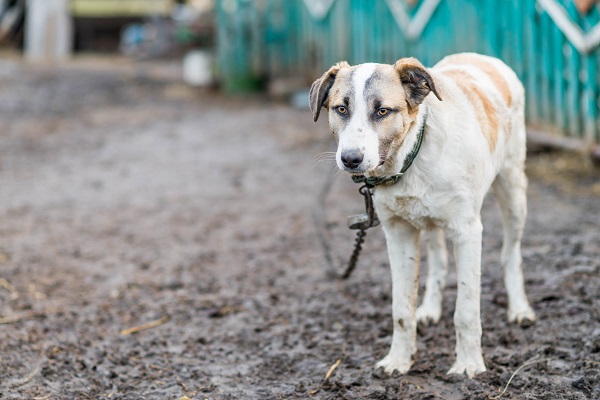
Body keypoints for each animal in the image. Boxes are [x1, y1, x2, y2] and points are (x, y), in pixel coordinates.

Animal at [310, 53, 536, 378]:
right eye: (341, 108)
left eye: (382, 111)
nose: (350, 159)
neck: (410, 160)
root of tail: (480, 56)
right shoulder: (398, 232)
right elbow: (402, 309)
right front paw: (399, 360)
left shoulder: (467, 231)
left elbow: (466, 310)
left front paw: (469, 365)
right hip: (430, 220)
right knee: (439, 260)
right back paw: (429, 310)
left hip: (513, 189)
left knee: (511, 253)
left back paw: (519, 309)